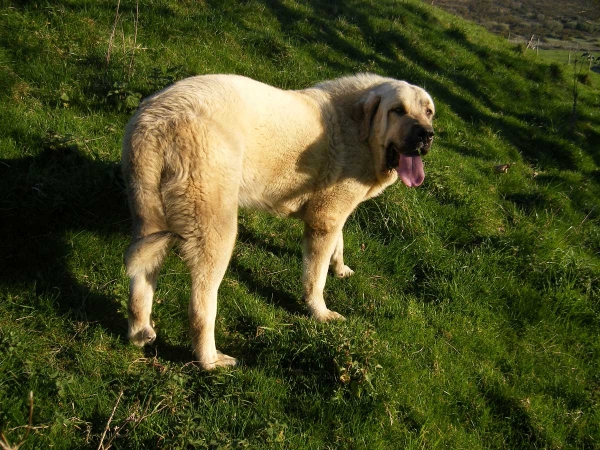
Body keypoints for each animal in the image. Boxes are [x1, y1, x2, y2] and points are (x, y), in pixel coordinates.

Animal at [120, 74, 436, 370]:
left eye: (428, 111)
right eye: (397, 110)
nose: (427, 134)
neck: (359, 127)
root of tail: (157, 119)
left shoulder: (334, 213)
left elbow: (339, 242)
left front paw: (340, 268)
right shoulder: (325, 219)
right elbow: (316, 278)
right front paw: (320, 313)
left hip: (148, 221)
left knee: (141, 280)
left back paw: (139, 331)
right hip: (216, 232)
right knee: (200, 307)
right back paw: (210, 360)